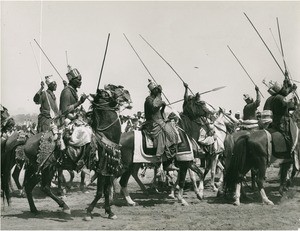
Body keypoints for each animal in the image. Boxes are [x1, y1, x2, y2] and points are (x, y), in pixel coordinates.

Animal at [1, 85, 131, 220]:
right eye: (108, 90)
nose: (127, 93)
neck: (105, 134)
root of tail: (27, 140)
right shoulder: (101, 168)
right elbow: (100, 192)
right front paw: (89, 212)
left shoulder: (107, 170)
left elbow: (105, 191)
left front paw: (109, 212)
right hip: (47, 168)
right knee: (44, 187)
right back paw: (64, 206)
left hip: (36, 168)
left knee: (29, 186)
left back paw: (34, 209)